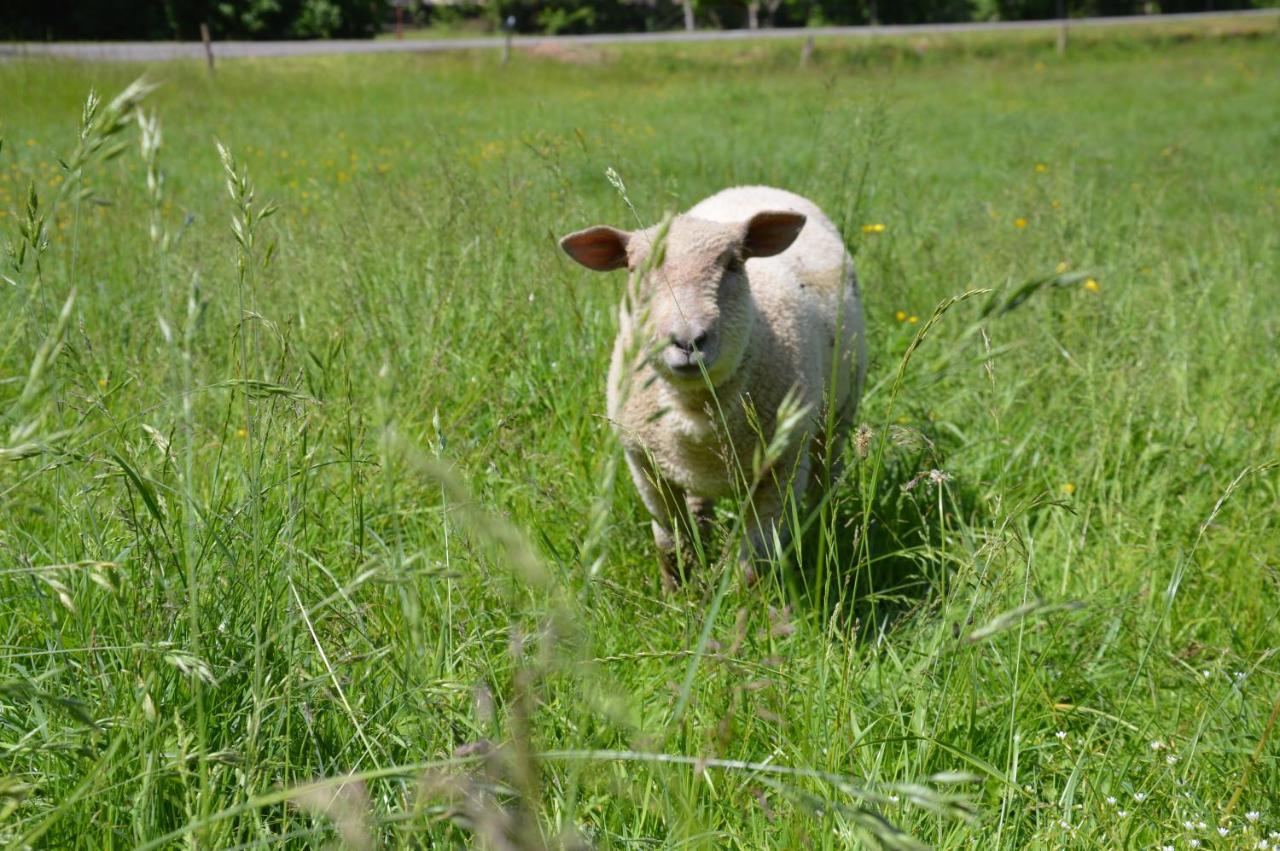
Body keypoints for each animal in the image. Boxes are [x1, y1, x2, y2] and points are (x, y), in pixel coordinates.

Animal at [565, 185, 865, 583]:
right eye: (636, 270)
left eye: (733, 264)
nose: (688, 340)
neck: (696, 409)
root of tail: (757, 188)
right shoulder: (644, 465)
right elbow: (670, 545)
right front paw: (678, 590)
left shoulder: (783, 464)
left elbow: (756, 559)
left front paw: (745, 597)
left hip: (836, 421)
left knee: (826, 474)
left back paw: (823, 523)